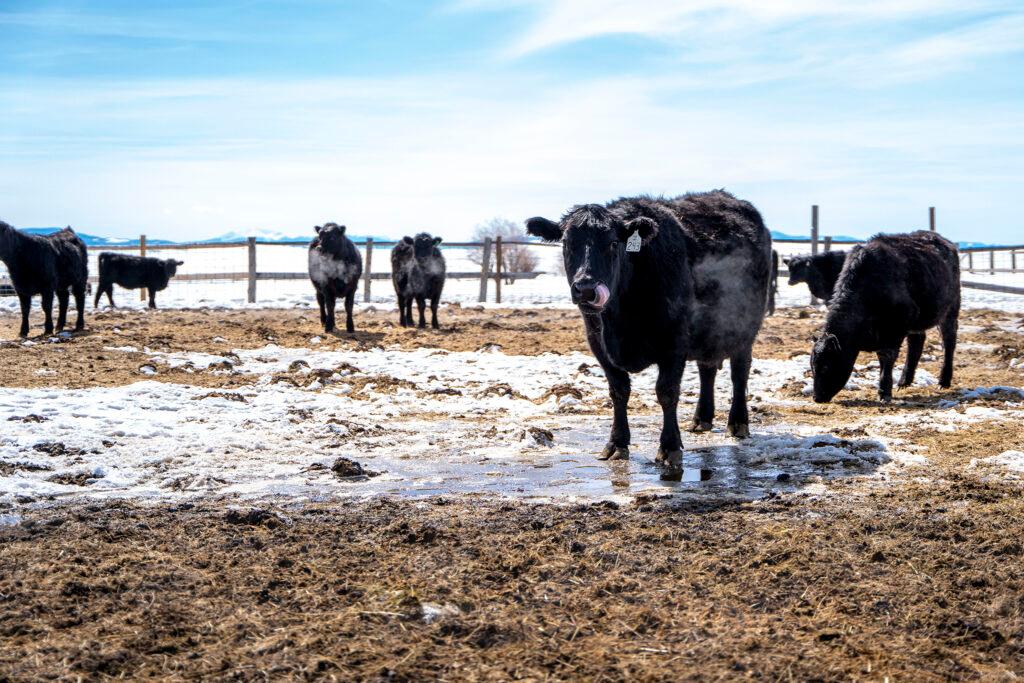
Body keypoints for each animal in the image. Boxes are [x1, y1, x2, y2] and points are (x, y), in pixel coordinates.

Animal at [524, 189, 770, 479]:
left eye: (613, 243)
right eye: (566, 243)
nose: (585, 288)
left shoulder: (674, 342)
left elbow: (666, 392)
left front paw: (669, 449)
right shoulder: (598, 343)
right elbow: (618, 391)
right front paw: (616, 443)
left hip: (744, 327)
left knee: (739, 373)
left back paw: (738, 423)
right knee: (706, 370)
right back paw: (702, 419)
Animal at [806, 231, 958, 401]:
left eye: (826, 366)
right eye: (812, 365)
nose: (817, 397)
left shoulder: (895, 328)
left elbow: (886, 356)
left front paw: (884, 391)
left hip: (950, 309)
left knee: (948, 341)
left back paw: (944, 381)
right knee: (916, 342)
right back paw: (904, 381)